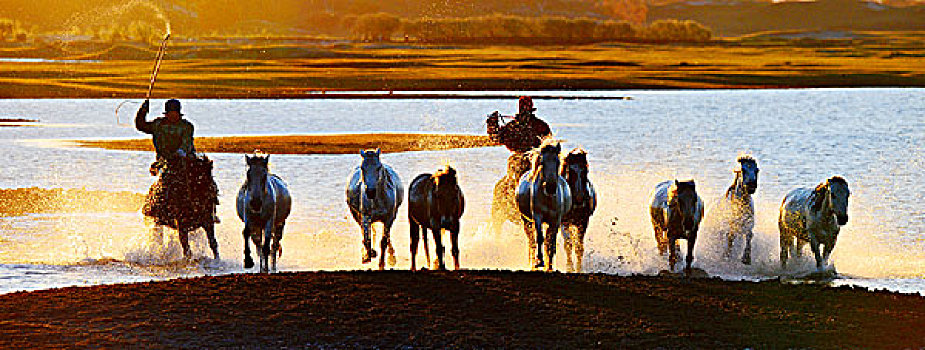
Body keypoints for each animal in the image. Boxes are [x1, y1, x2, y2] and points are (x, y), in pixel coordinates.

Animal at [512, 139, 572, 270]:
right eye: (542, 162)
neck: (548, 198)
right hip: (526, 220)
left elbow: (551, 240)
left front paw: (549, 265)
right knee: (531, 239)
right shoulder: (537, 216)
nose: (550, 187)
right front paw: (539, 261)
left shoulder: (556, 219)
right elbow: (540, 237)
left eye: (558, 162)